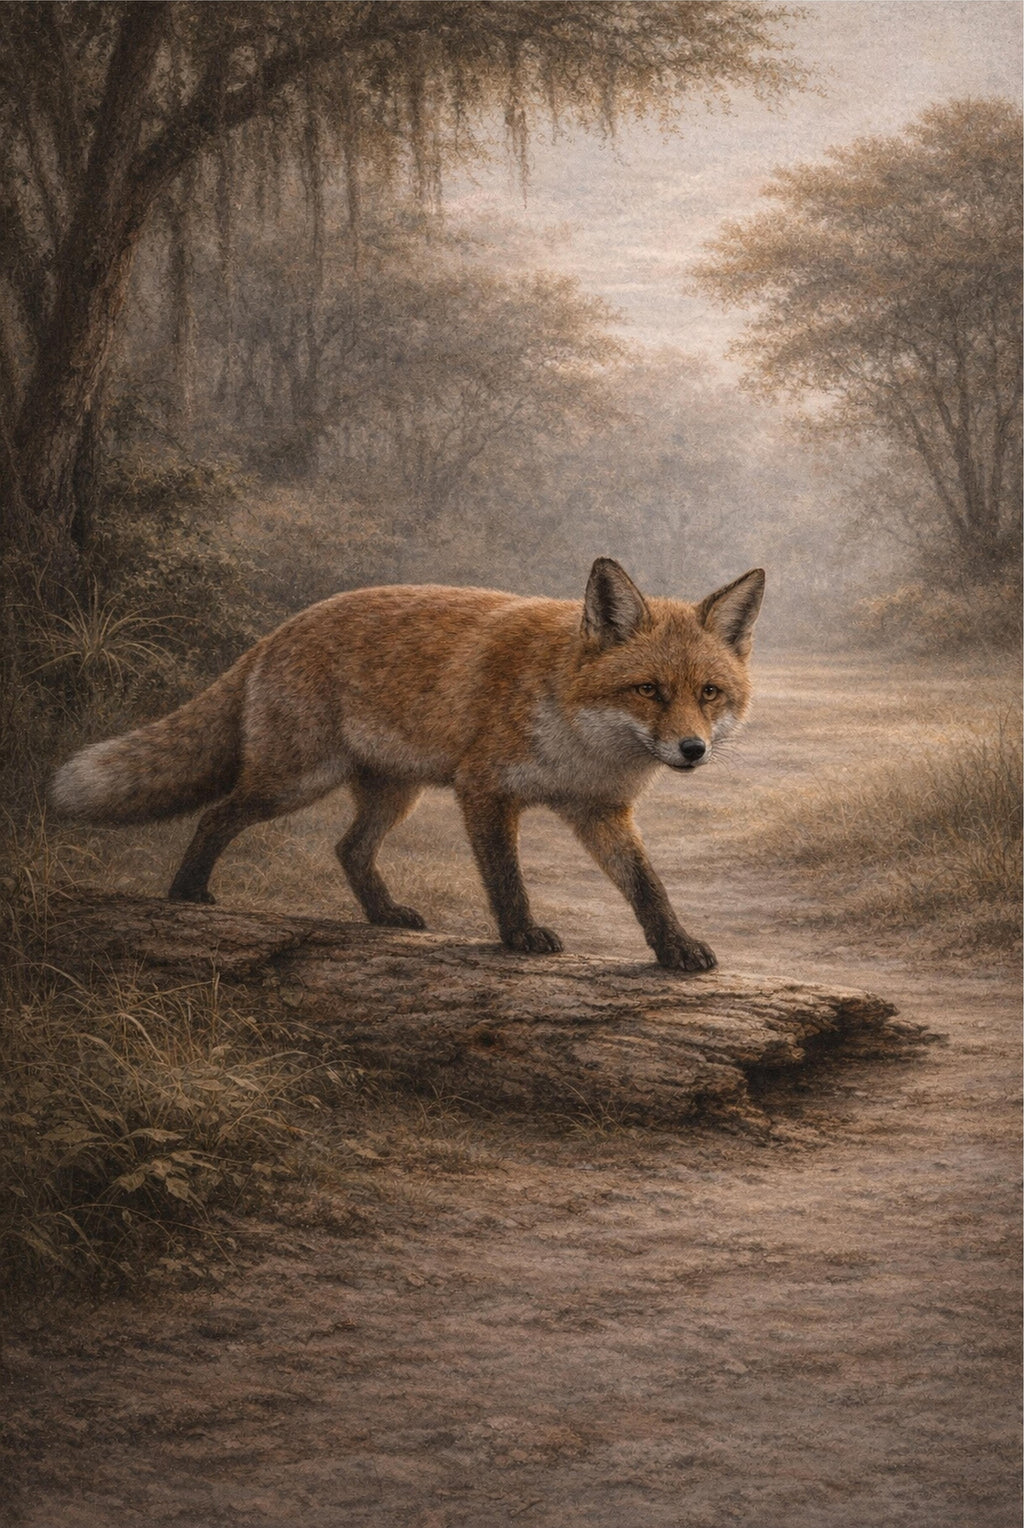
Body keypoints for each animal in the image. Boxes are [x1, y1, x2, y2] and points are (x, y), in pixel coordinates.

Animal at [51, 558, 764, 971]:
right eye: (648, 690)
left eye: (709, 693)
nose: (693, 749)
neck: (582, 742)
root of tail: (280, 629)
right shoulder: (484, 789)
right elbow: (505, 879)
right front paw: (520, 936)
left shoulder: (599, 811)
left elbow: (646, 886)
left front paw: (673, 947)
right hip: (293, 782)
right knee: (217, 815)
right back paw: (187, 893)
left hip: (396, 793)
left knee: (348, 849)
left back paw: (383, 915)